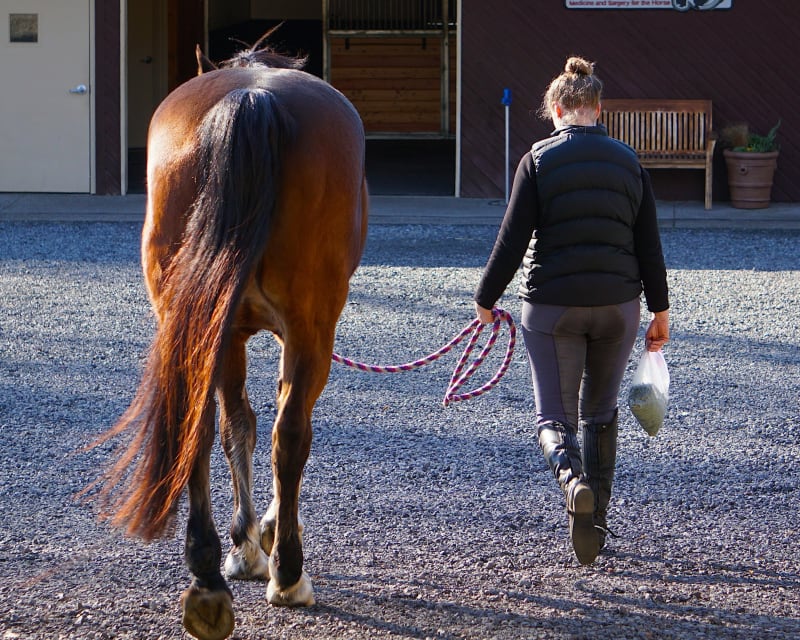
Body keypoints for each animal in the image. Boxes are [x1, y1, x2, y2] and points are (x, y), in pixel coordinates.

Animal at [97, 40, 368, 640]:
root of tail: (253, 96)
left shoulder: (225, 334)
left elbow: (233, 424)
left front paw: (244, 544)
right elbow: (256, 426)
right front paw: (259, 537)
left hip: (197, 322)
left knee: (195, 428)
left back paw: (205, 577)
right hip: (312, 330)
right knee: (290, 435)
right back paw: (288, 574)